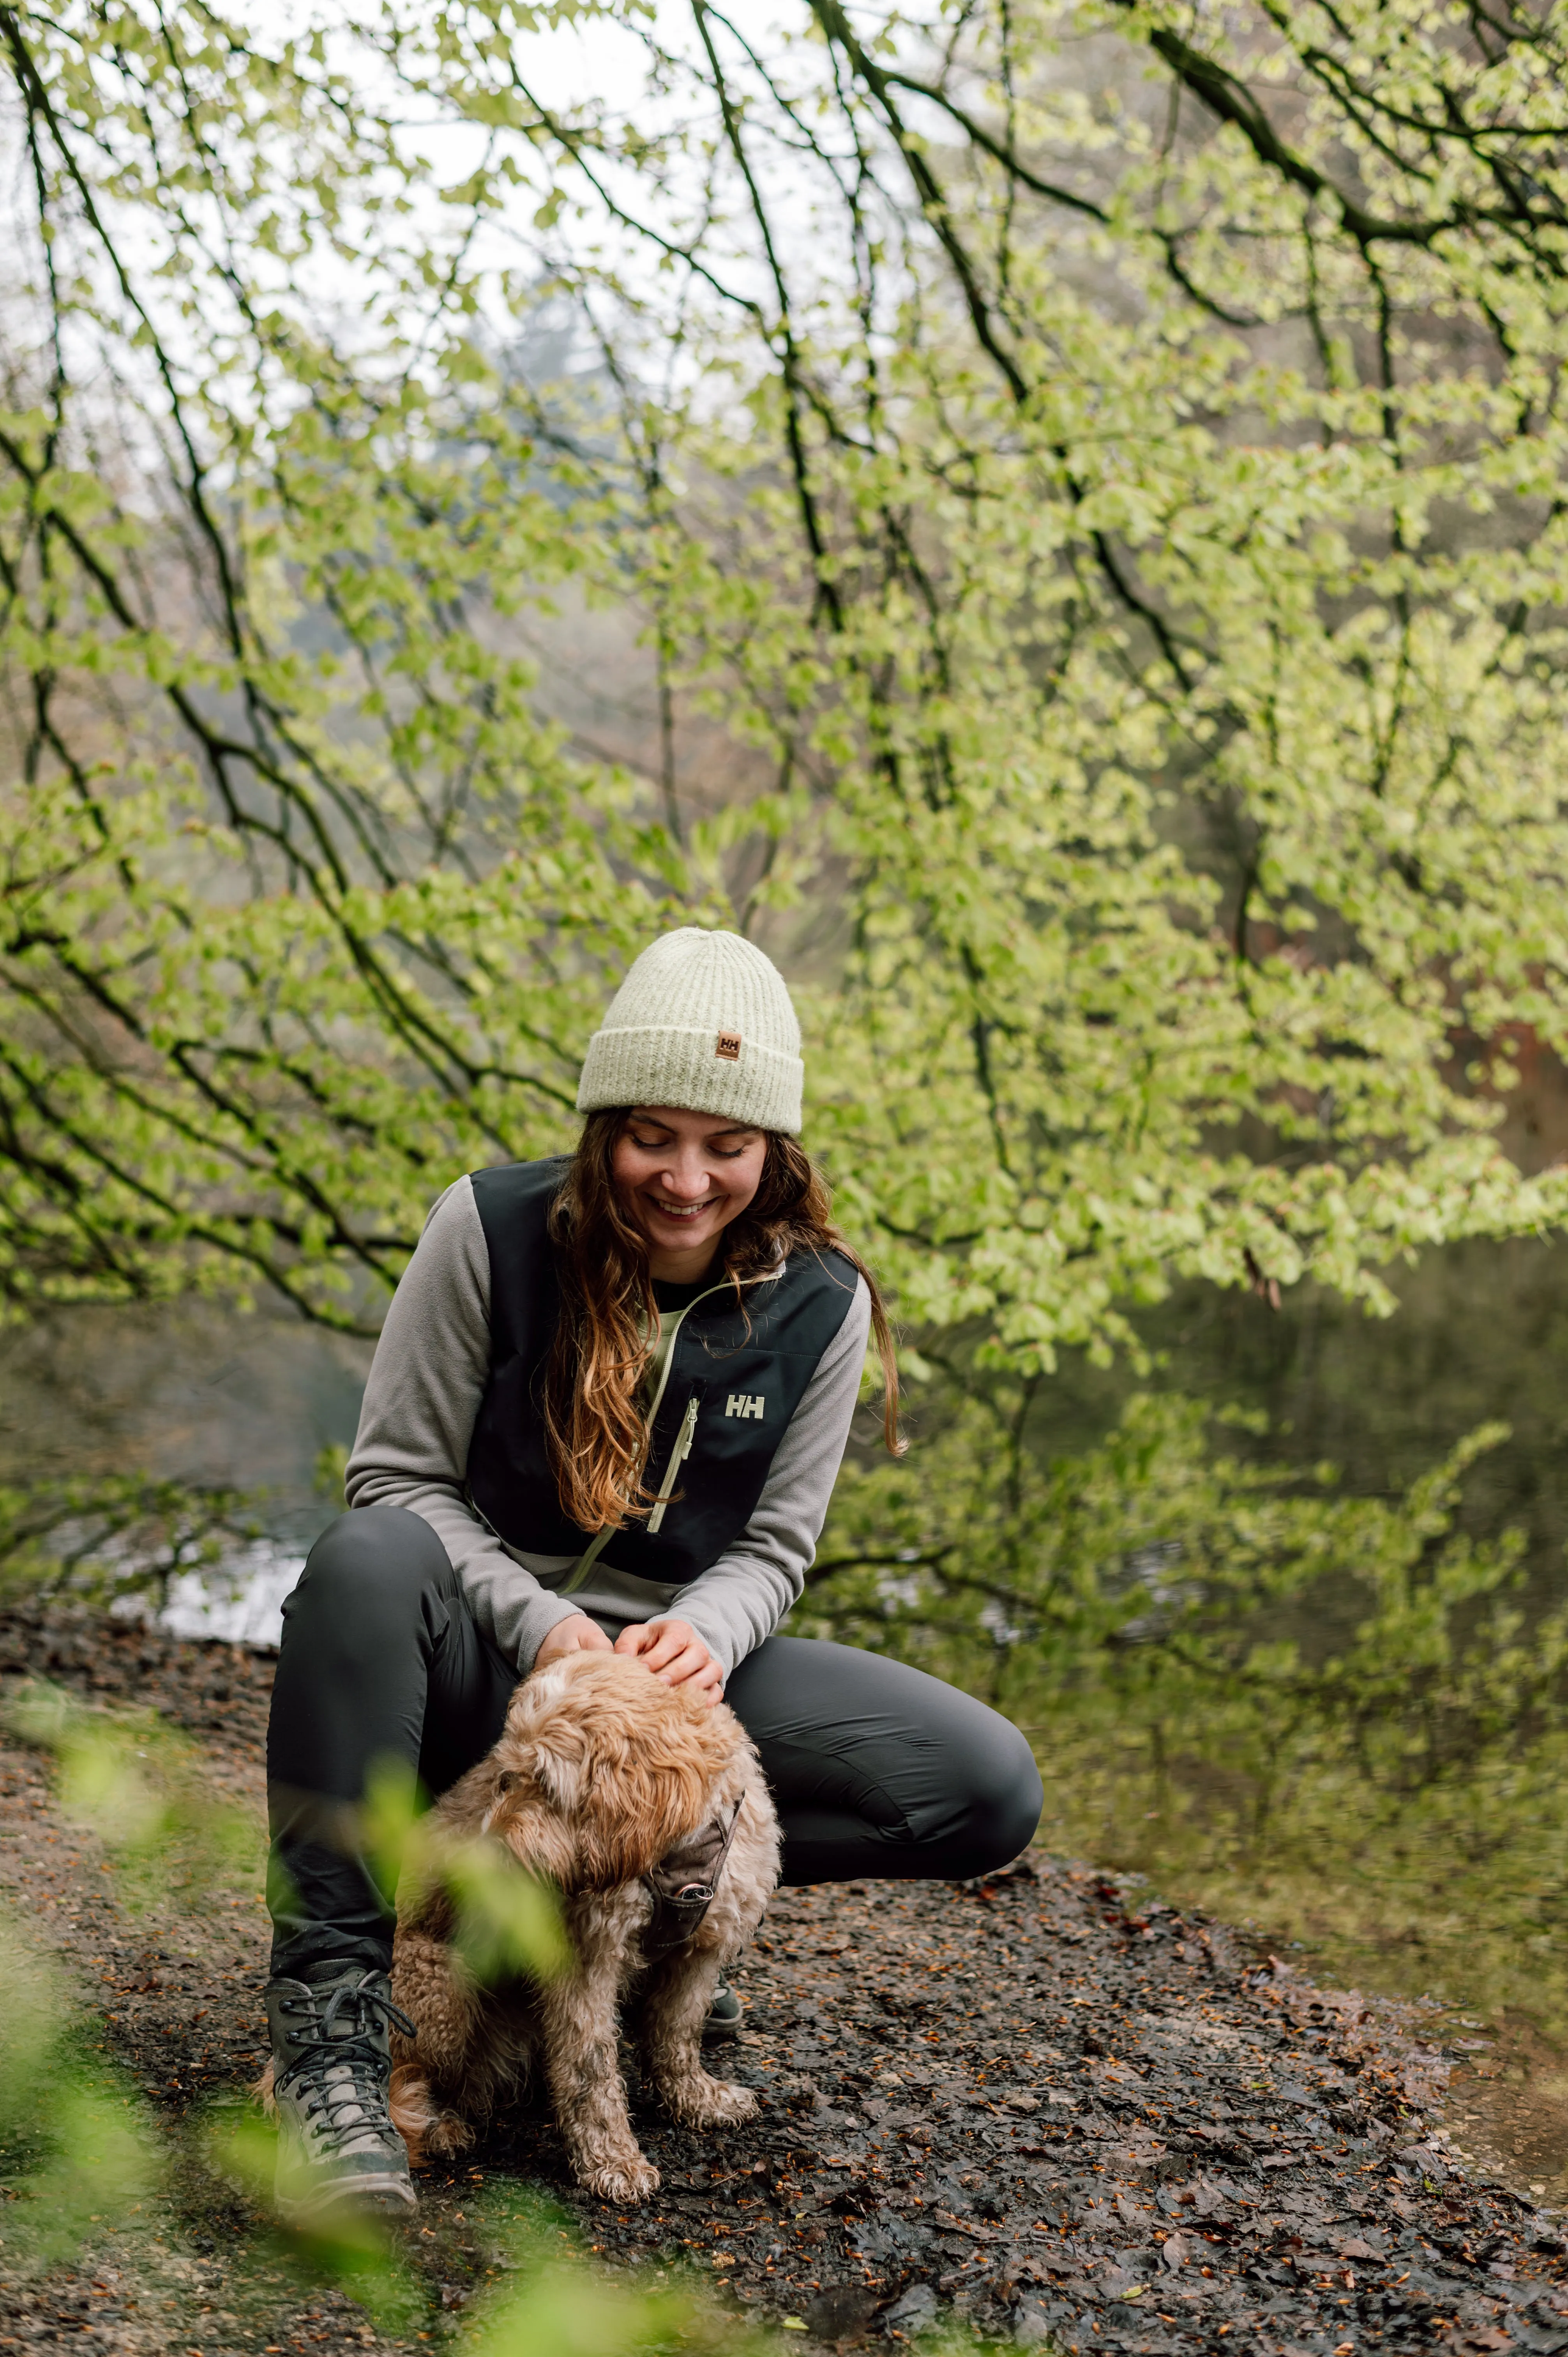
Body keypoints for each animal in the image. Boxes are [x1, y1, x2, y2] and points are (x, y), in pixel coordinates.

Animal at [384, 1650, 778, 2196]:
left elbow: (678, 2032)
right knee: (400, 2075)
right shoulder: (584, 1962)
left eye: (545, 1785)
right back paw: (437, 2125)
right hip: (439, 1992)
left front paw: (697, 2099)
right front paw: (612, 2160)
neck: (672, 1849)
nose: (484, 1856)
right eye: (505, 1778)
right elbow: (589, 2067)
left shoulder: (699, 1952)